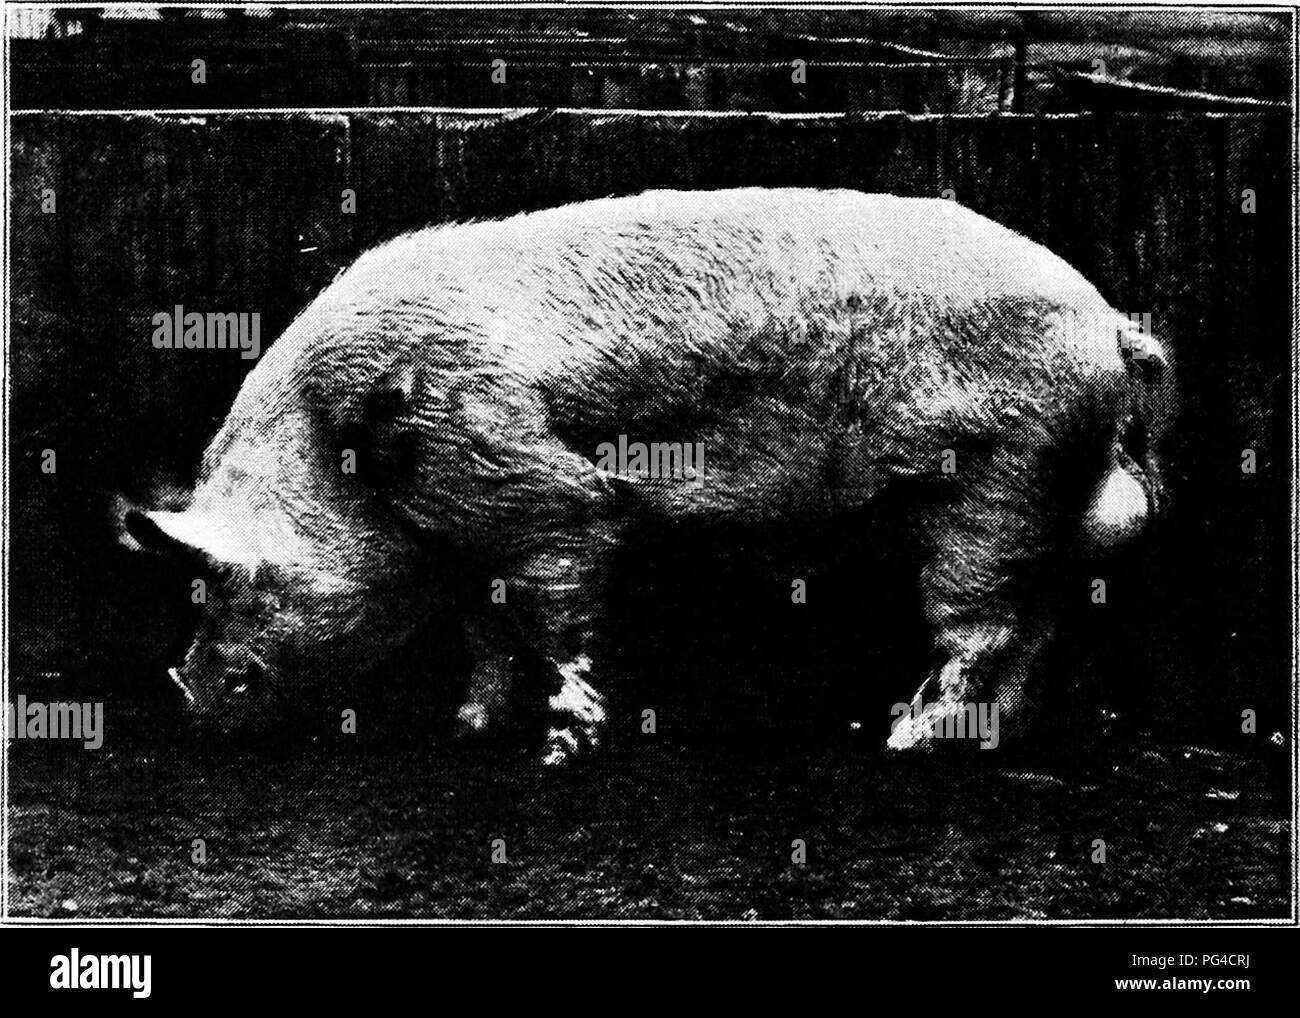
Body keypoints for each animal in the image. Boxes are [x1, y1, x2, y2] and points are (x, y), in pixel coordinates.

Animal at [126, 188, 1175, 764]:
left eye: (236, 577)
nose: (187, 698)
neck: (353, 450)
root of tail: (1111, 327)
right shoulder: (465, 538)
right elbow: (485, 637)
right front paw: (467, 731)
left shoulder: (538, 493)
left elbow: (558, 615)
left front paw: (559, 754)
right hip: (1034, 497)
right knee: (1035, 623)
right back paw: (982, 741)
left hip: (993, 486)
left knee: (982, 626)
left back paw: (904, 741)